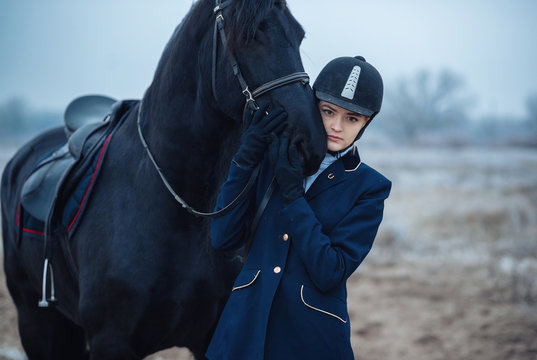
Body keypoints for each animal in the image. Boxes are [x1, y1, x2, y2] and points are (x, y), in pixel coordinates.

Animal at [2, 1, 324, 358]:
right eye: (251, 36)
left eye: (299, 35)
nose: (312, 143)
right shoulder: (110, 340)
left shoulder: (209, 335)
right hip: (36, 321)